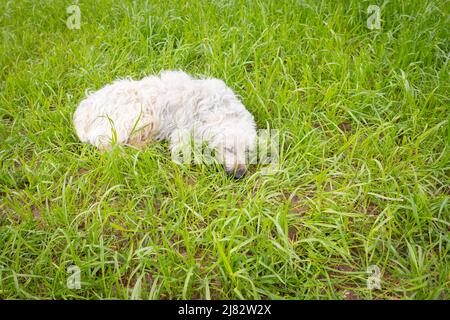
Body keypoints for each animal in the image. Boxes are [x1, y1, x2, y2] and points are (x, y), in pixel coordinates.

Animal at [74, 69, 256, 178]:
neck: (220, 107)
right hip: (139, 115)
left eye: (247, 151)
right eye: (229, 148)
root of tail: (83, 111)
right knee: (107, 146)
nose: (239, 174)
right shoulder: (183, 130)